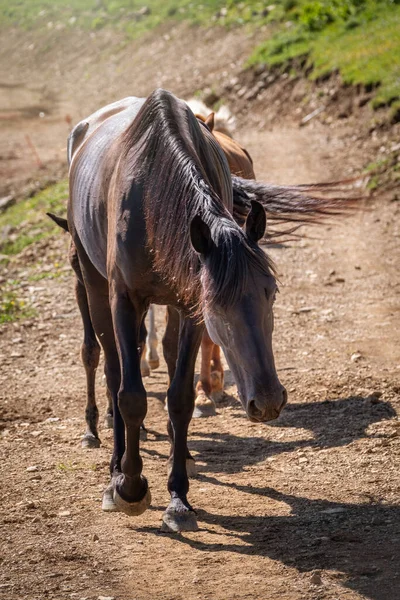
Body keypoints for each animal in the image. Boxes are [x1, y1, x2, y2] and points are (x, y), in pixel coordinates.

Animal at [65, 89, 284, 528]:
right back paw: (115, 468)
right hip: (94, 287)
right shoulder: (125, 300)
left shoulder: (188, 305)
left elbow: (180, 396)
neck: (153, 193)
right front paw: (130, 486)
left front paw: (178, 498)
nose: (268, 401)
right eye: (217, 305)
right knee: (111, 369)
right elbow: (130, 395)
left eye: (271, 291)